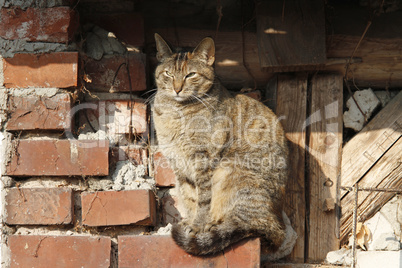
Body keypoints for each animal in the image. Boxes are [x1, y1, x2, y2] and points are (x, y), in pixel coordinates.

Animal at [152, 33, 288, 255]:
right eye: (168, 74)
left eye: (191, 75)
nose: (177, 88)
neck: (176, 111)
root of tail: (278, 229)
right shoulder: (179, 164)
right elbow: (190, 197)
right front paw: (190, 221)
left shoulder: (203, 159)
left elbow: (203, 199)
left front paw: (198, 225)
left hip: (232, 171)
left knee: (247, 223)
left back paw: (214, 226)